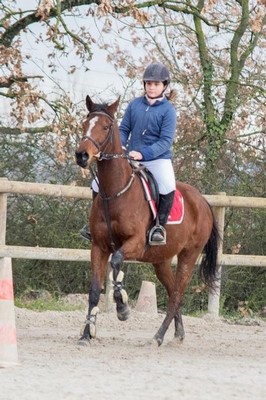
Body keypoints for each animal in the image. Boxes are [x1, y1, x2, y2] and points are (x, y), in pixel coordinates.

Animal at [75, 95, 220, 346]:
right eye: (85, 124)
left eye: (106, 126)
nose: (82, 155)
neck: (115, 193)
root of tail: (202, 201)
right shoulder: (98, 247)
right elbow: (94, 291)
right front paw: (86, 334)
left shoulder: (134, 244)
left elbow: (117, 262)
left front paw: (122, 306)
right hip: (161, 260)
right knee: (173, 292)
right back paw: (178, 334)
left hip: (189, 256)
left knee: (176, 295)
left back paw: (158, 337)